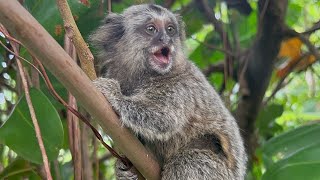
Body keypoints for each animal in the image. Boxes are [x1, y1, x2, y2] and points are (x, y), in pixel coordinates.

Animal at [91, 4, 246, 180]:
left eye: (170, 29)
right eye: (151, 29)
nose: (166, 39)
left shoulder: (182, 86)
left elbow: (164, 118)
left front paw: (113, 93)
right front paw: (124, 170)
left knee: (188, 162)